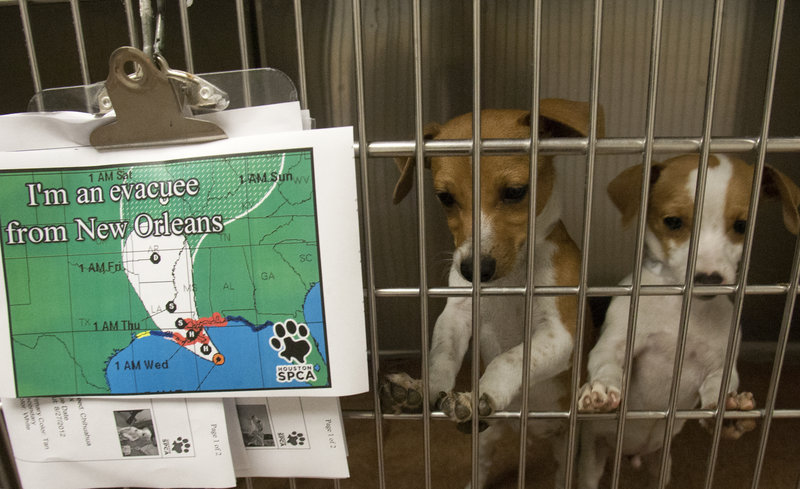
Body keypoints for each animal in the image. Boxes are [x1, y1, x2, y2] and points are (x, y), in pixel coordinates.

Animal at [382, 100, 600, 488]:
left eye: (515, 192)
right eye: (445, 198)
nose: (474, 271)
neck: (509, 282)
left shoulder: (560, 333)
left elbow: (511, 358)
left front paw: (483, 391)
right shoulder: (455, 315)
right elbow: (441, 356)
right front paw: (422, 388)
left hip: (576, 440)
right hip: (485, 437)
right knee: (482, 463)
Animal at [576, 153, 800, 488]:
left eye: (742, 225)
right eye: (673, 222)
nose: (708, 278)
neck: (683, 309)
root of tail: (629, 453)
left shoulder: (719, 364)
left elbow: (719, 386)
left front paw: (729, 412)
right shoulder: (616, 341)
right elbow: (606, 363)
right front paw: (600, 389)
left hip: (661, 465)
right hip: (591, 461)